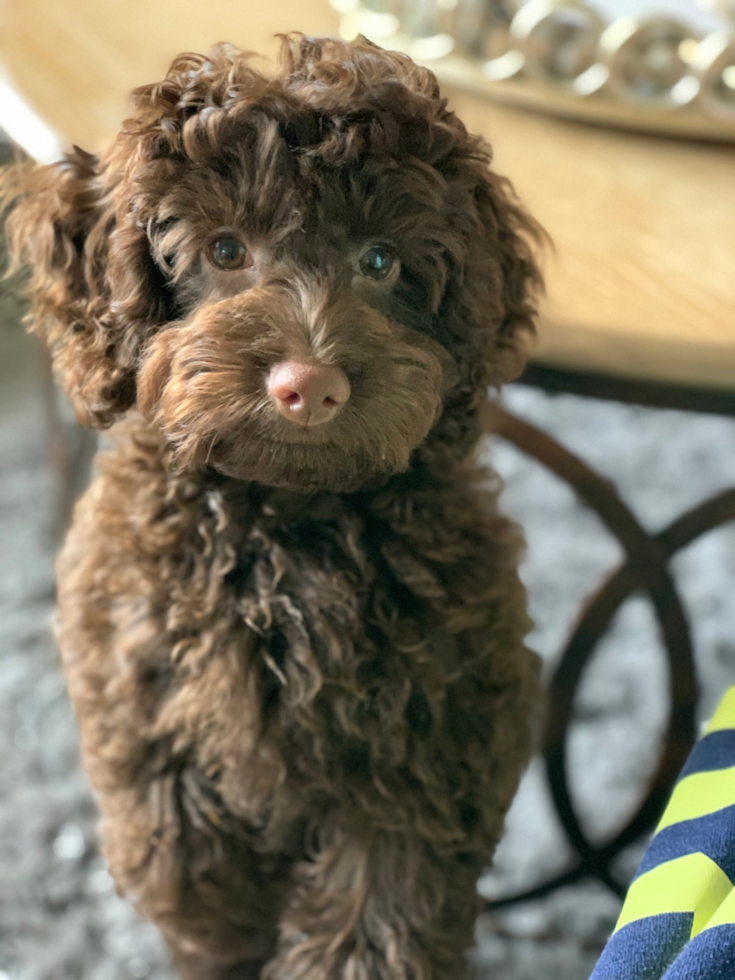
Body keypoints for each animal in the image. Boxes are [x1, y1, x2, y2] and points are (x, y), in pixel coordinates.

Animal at [2, 34, 544, 976]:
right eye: (225, 251)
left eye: (380, 260)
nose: (309, 385)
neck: (285, 521)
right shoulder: (150, 728)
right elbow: (189, 875)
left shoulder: (428, 755)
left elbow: (376, 921)